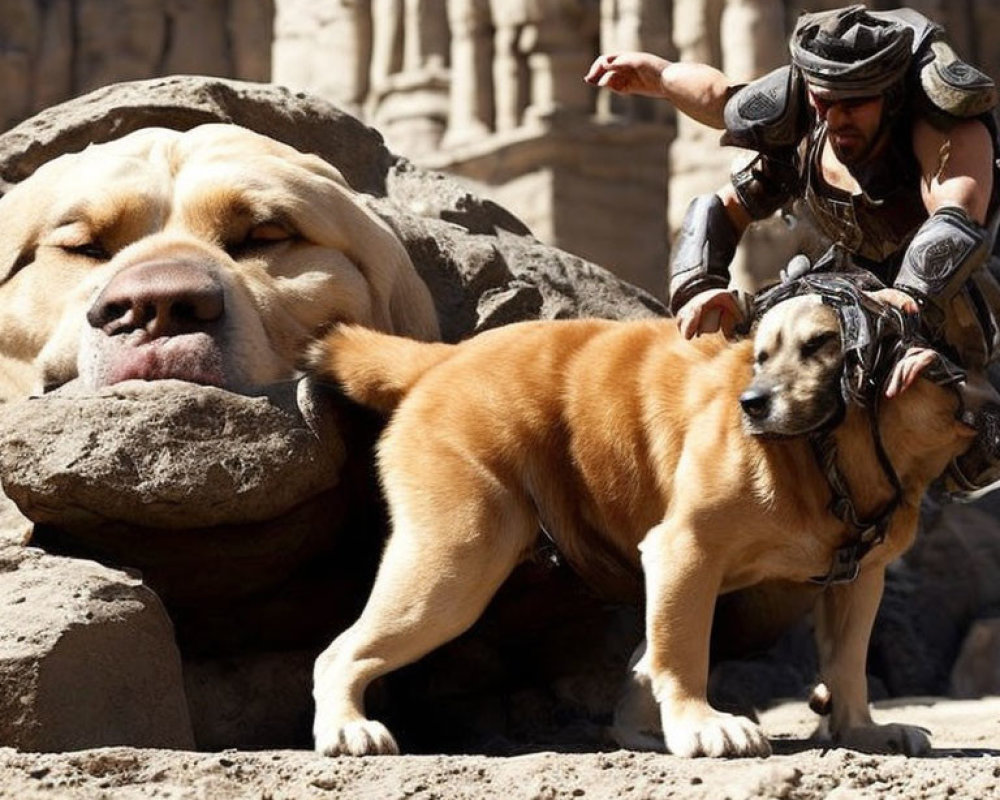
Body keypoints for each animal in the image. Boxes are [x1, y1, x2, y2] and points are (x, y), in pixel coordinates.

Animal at [310, 286, 976, 756]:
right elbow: (682, 651)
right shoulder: (683, 550)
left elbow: (846, 663)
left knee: (638, 673)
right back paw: (347, 728)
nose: (752, 405)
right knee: (339, 654)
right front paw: (703, 726)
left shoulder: (857, 581)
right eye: (761, 356)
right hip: (456, 565)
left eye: (820, 346)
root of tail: (443, 359)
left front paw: (861, 731)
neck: (825, 455)